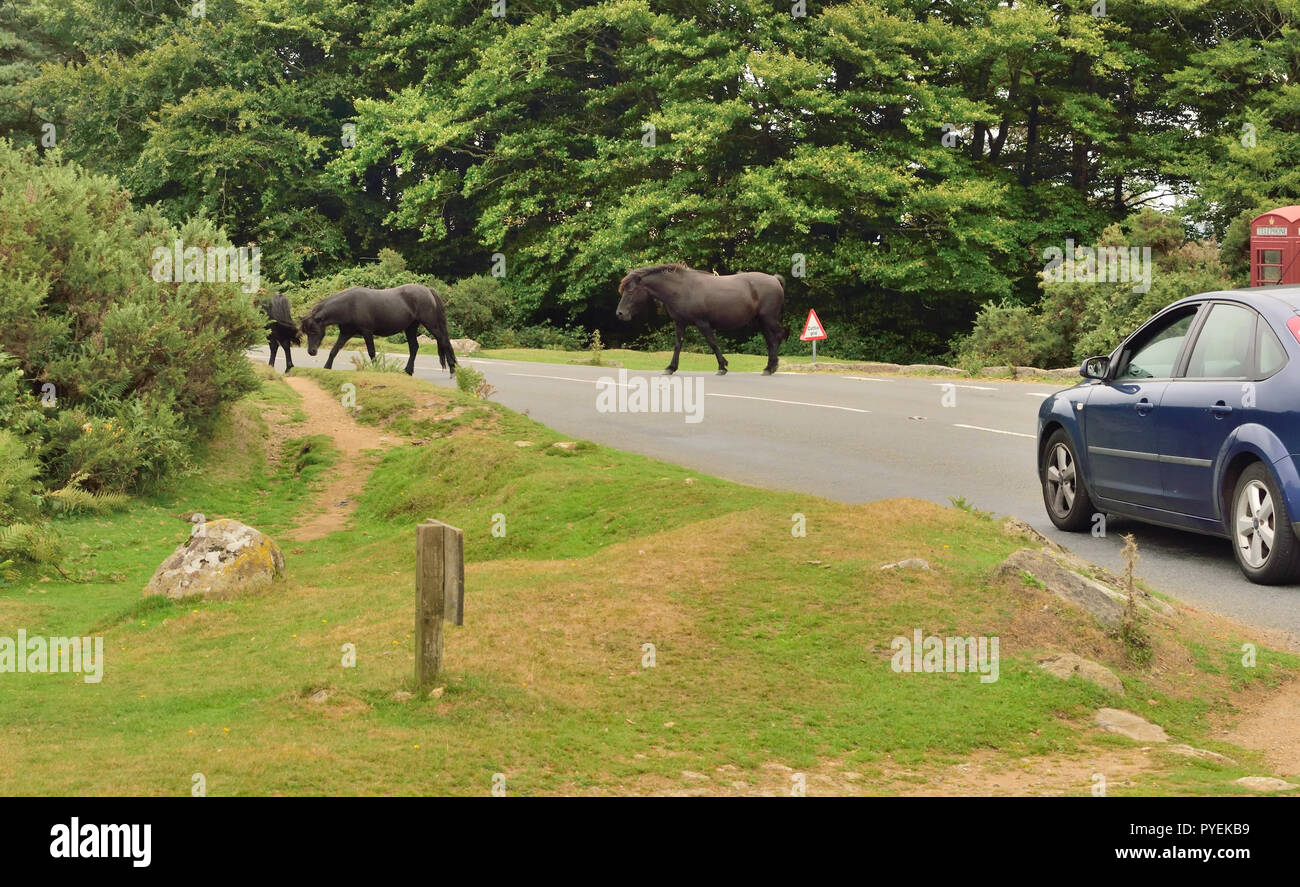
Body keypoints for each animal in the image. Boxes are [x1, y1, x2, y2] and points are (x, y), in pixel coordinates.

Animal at [299, 283, 457, 371]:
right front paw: (326, 368)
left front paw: (376, 369)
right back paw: (408, 371)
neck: (350, 305)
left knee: (444, 341)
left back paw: (452, 369)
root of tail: (428, 290)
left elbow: (371, 352)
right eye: (306, 332)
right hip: (411, 327)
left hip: (431, 324)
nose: (311, 352)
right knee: (414, 347)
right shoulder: (345, 333)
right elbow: (334, 350)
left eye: (314, 330)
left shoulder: (367, 332)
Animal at [613, 262, 785, 371]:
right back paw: (769, 366)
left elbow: (712, 343)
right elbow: (678, 345)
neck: (681, 289)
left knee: (778, 336)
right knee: (770, 340)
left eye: (631, 290)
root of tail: (774, 279)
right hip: (761, 321)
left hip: (768, 318)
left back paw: (772, 367)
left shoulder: (702, 323)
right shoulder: (680, 323)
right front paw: (671, 367)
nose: (620, 313)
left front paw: (722, 366)